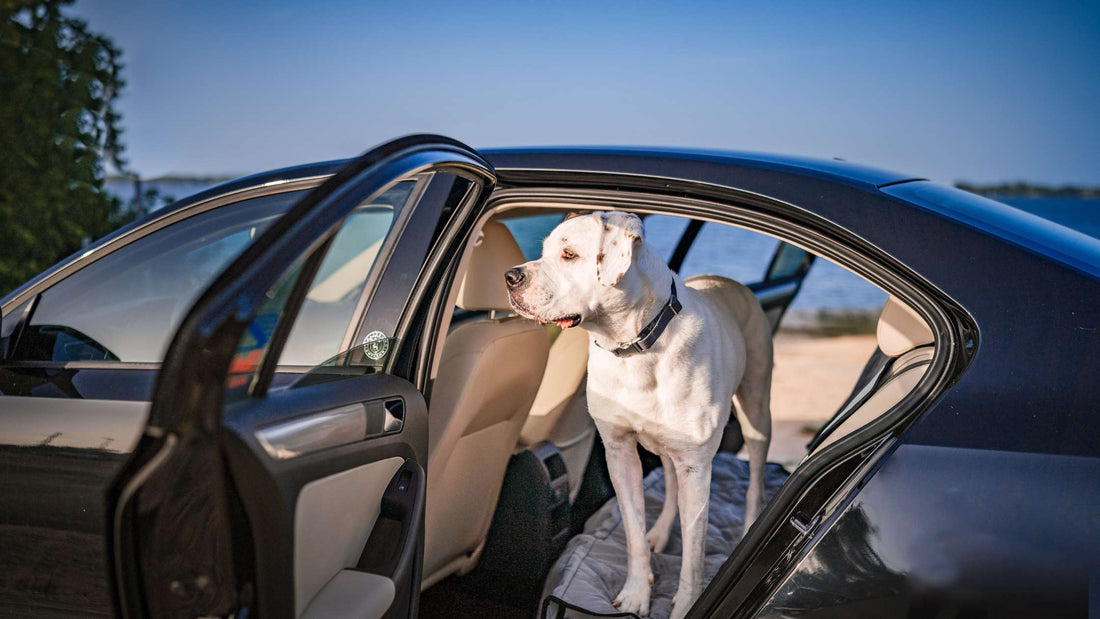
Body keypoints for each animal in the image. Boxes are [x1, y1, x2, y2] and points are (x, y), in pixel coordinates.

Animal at [506, 211, 774, 615]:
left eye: (569, 255)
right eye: (545, 250)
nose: (510, 276)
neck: (635, 348)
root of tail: (728, 282)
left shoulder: (697, 467)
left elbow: (693, 556)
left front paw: (686, 605)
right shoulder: (620, 454)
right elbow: (632, 531)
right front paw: (636, 593)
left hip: (757, 410)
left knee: (755, 480)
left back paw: (748, 528)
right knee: (671, 484)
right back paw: (660, 533)